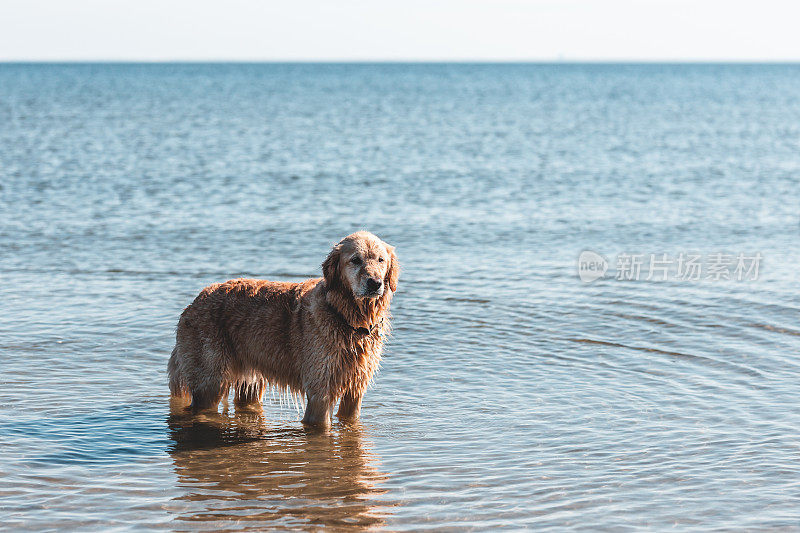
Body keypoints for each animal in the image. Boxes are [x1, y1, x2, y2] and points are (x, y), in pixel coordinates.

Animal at [167, 231, 398, 426]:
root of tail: (193, 302)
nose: (375, 283)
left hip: (251, 379)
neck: (346, 317)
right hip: (210, 381)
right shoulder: (320, 391)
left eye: (381, 260)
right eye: (355, 260)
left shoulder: (355, 390)